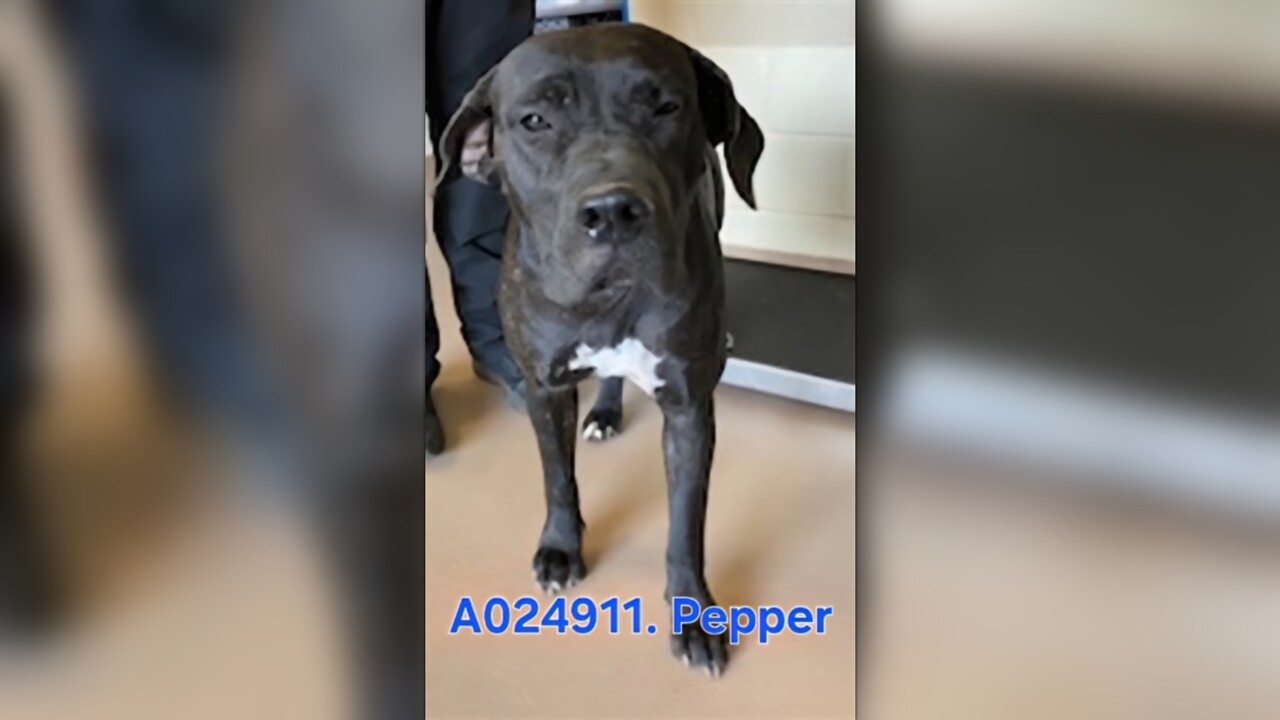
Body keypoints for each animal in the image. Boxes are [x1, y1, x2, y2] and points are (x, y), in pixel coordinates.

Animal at [438, 22, 763, 676]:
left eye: (666, 107)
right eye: (534, 120)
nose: (613, 211)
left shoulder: (689, 410)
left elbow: (686, 521)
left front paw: (693, 615)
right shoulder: (546, 389)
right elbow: (558, 478)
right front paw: (562, 549)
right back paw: (605, 412)